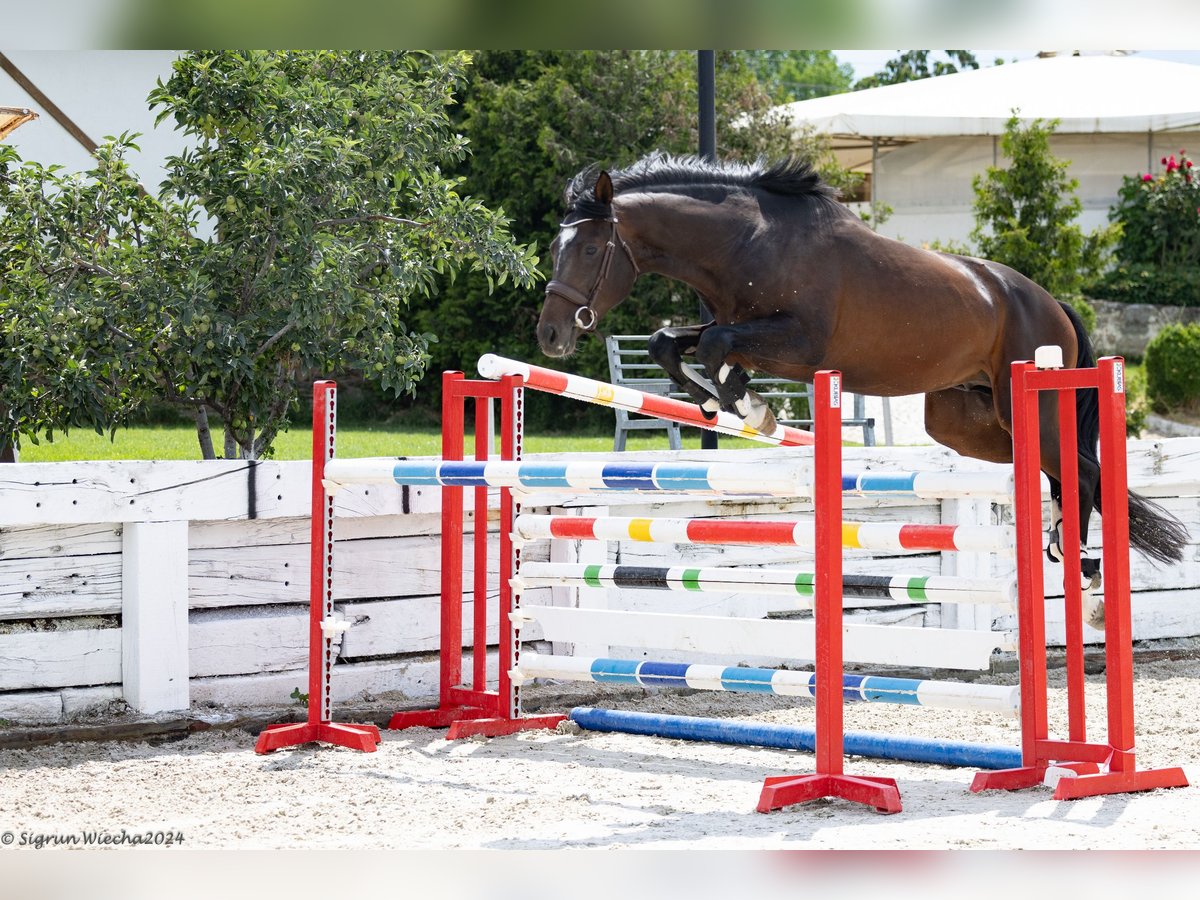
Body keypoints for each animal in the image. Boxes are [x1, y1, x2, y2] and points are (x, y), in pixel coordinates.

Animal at [537, 154, 1190, 624]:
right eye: (554, 248)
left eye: (591, 248)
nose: (550, 335)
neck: (749, 242)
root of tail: (1052, 305)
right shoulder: (738, 327)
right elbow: (669, 342)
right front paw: (727, 400)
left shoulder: (799, 344)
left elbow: (717, 344)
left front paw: (747, 402)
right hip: (966, 422)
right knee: (1062, 472)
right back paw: (1067, 549)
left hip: (1027, 403)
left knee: (1082, 471)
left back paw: (1083, 572)